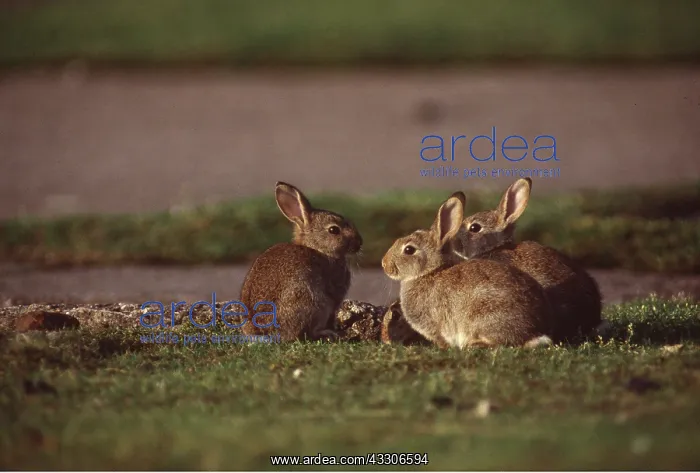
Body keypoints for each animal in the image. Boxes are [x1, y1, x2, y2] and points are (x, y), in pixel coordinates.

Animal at [239, 182, 363, 342]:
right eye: (334, 230)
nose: (359, 243)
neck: (318, 248)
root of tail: (263, 330)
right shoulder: (333, 297)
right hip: (315, 303)